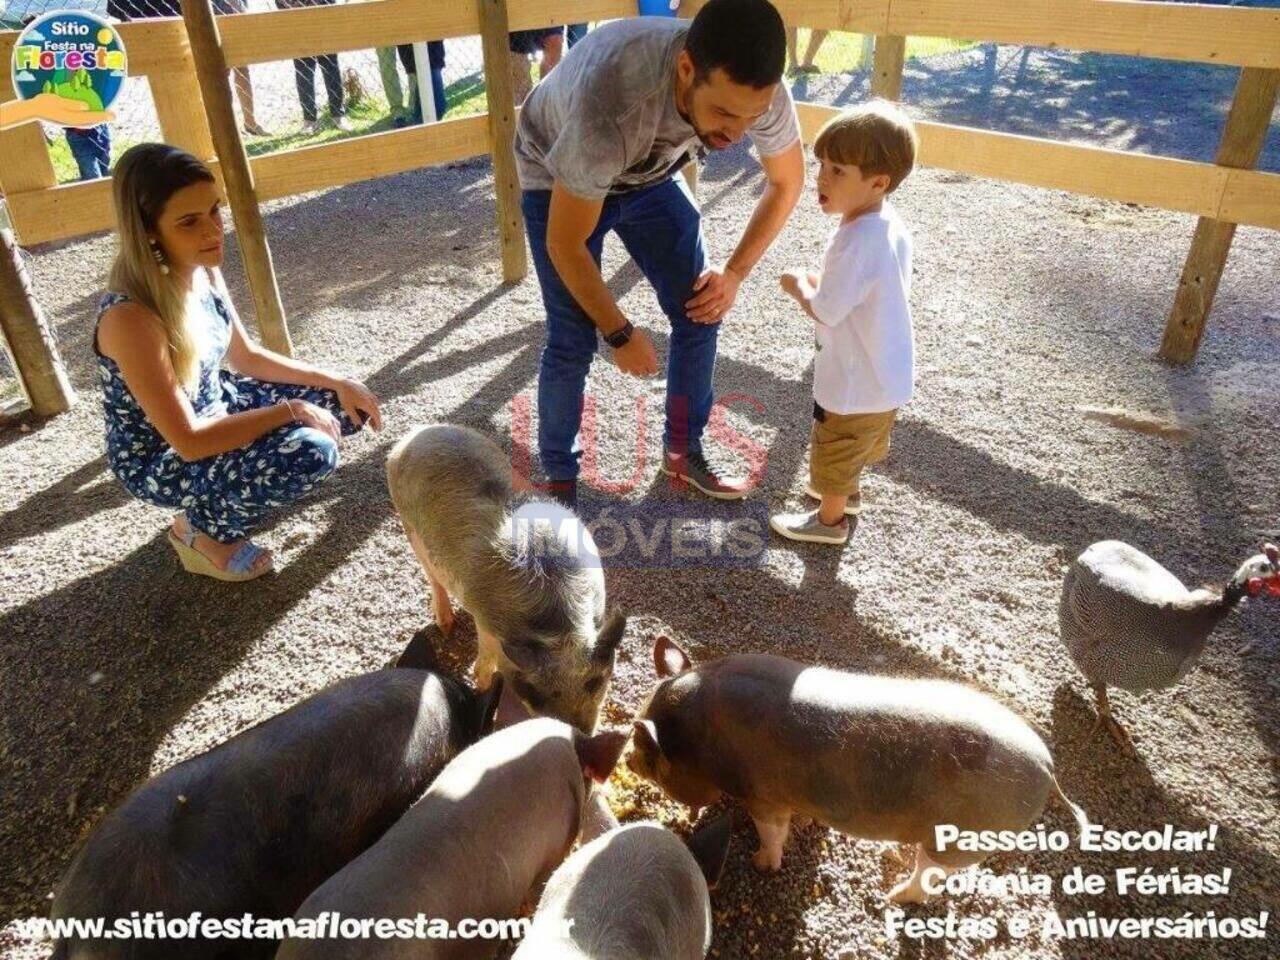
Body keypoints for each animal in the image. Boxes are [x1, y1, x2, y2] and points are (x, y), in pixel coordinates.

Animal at [629, 640, 1090, 901]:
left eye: (648, 755)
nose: (629, 761)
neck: (698, 736)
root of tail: (1047, 767)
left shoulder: (764, 795)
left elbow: (773, 832)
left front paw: (761, 864)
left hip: (958, 836)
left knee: (931, 876)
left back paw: (893, 898)